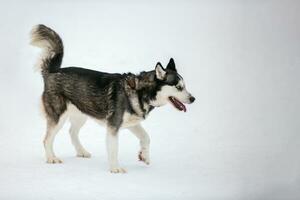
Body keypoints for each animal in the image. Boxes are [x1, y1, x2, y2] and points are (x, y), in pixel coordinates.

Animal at [29, 24, 195, 173]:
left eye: (185, 86)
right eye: (179, 87)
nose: (193, 98)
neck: (138, 91)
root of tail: (52, 71)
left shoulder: (132, 123)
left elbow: (146, 137)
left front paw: (144, 156)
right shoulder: (113, 127)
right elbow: (114, 149)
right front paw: (115, 169)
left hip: (81, 113)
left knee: (72, 132)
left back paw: (81, 151)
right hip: (59, 116)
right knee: (47, 139)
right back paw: (51, 158)